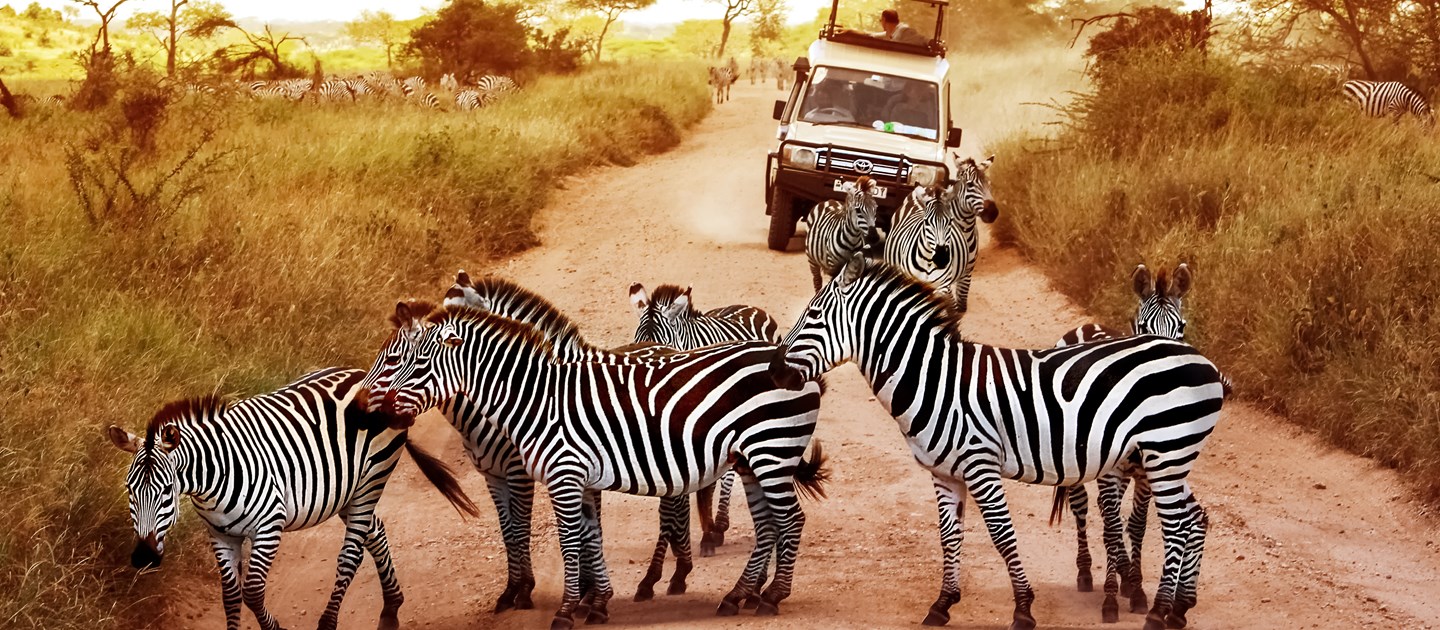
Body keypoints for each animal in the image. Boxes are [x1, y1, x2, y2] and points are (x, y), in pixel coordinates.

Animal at [106, 367, 479, 630]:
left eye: (165, 492)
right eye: (129, 491)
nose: (143, 557)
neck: (213, 479)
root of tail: (363, 373)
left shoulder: (269, 527)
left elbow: (252, 592)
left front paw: (276, 629)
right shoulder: (220, 535)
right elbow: (231, 595)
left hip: (370, 481)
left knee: (351, 555)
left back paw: (329, 623)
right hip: (347, 491)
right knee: (376, 532)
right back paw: (390, 609)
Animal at [771, 253, 1225, 630]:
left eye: (813, 315)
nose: (775, 370)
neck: (935, 382)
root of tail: (1202, 360)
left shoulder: (981, 465)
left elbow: (1002, 536)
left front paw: (1023, 609)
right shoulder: (944, 473)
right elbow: (949, 537)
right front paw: (942, 605)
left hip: (1165, 453)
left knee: (1177, 526)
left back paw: (1157, 613)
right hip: (1169, 458)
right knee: (1196, 517)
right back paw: (1179, 609)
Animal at [883, 155, 998, 313]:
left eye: (989, 185)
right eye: (970, 185)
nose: (992, 212)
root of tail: (930, 186)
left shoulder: (966, 274)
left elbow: (958, 305)